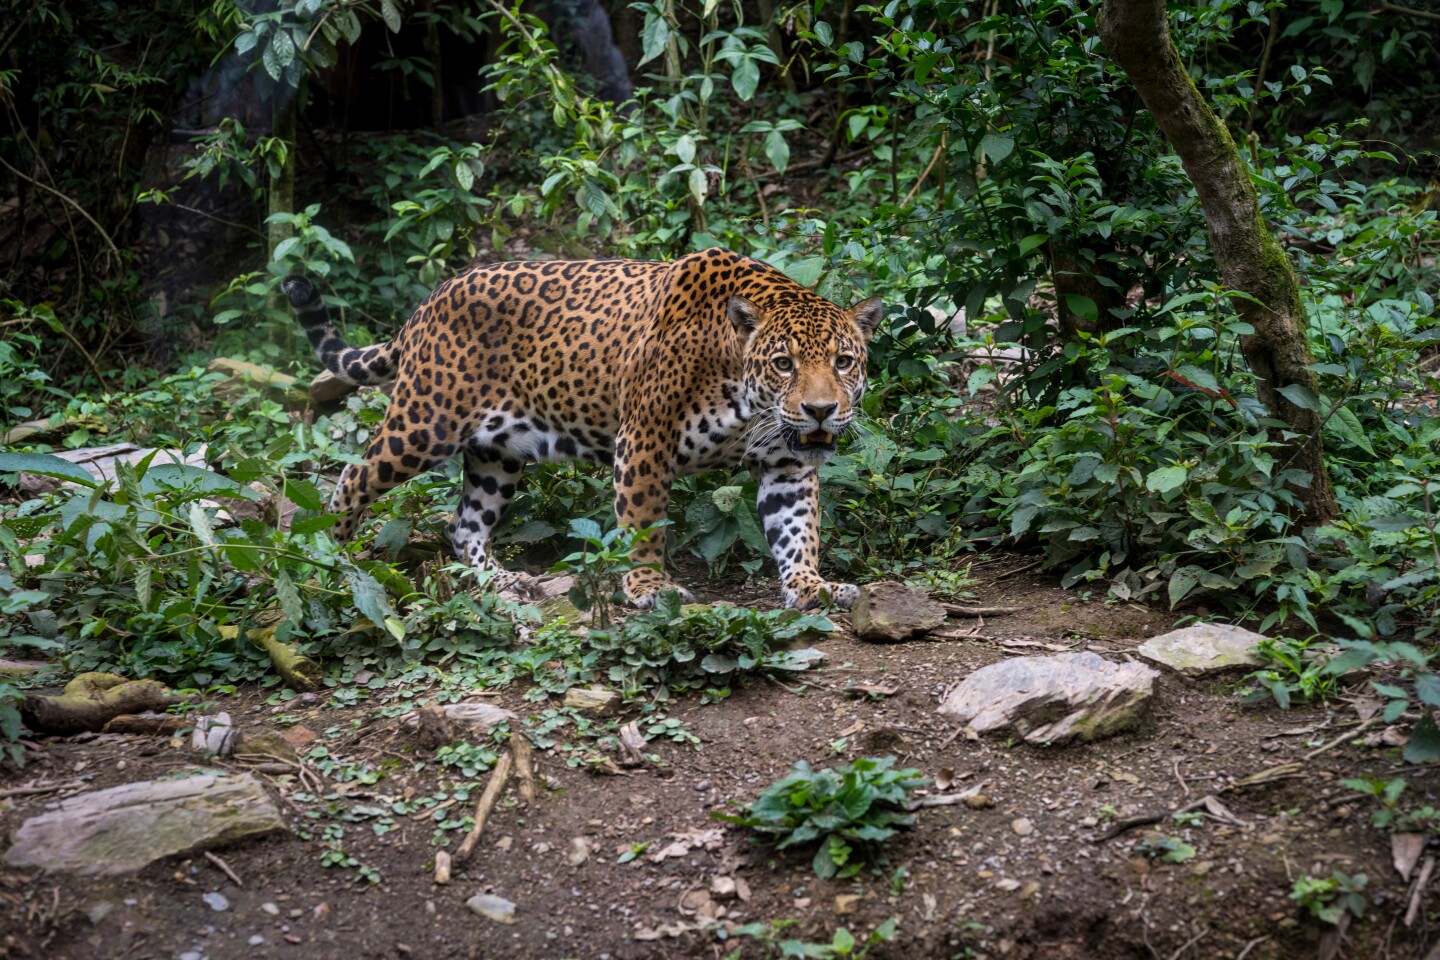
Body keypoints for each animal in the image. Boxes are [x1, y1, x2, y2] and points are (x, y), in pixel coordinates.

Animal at [281, 247, 882, 610]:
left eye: (843, 362)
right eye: (783, 363)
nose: (821, 410)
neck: (741, 383)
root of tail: (428, 302)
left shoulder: (787, 462)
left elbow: (798, 531)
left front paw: (812, 586)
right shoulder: (644, 442)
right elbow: (643, 525)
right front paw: (648, 590)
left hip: (497, 454)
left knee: (465, 522)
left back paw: (501, 581)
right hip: (424, 425)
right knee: (354, 476)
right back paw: (326, 558)